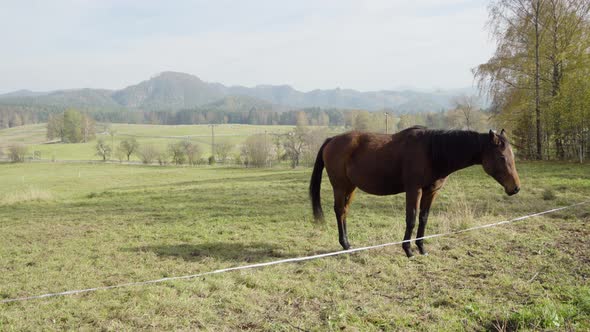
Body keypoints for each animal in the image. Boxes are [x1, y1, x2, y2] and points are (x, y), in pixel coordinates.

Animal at [312, 126, 520, 258]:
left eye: (512, 155)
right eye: (501, 157)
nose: (515, 188)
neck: (431, 152)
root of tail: (332, 140)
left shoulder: (431, 192)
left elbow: (424, 218)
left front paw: (421, 247)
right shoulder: (414, 190)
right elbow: (411, 218)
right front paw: (408, 250)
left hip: (351, 187)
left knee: (344, 212)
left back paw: (347, 245)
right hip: (340, 186)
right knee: (339, 211)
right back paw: (345, 244)